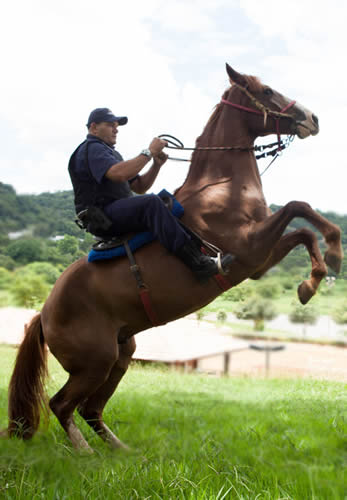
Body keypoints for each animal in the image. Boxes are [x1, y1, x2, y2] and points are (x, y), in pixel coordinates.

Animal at [4, 63, 344, 454]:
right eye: (267, 90)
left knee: (90, 409)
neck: (222, 187)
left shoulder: (258, 261)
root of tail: (43, 314)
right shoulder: (249, 246)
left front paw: (313, 279)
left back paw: (121, 452)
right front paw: (332, 256)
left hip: (121, 354)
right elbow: (298, 208)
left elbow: (303, 228)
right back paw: (85, 453)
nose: (313, 118)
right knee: (61, 405)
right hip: (96, 361)